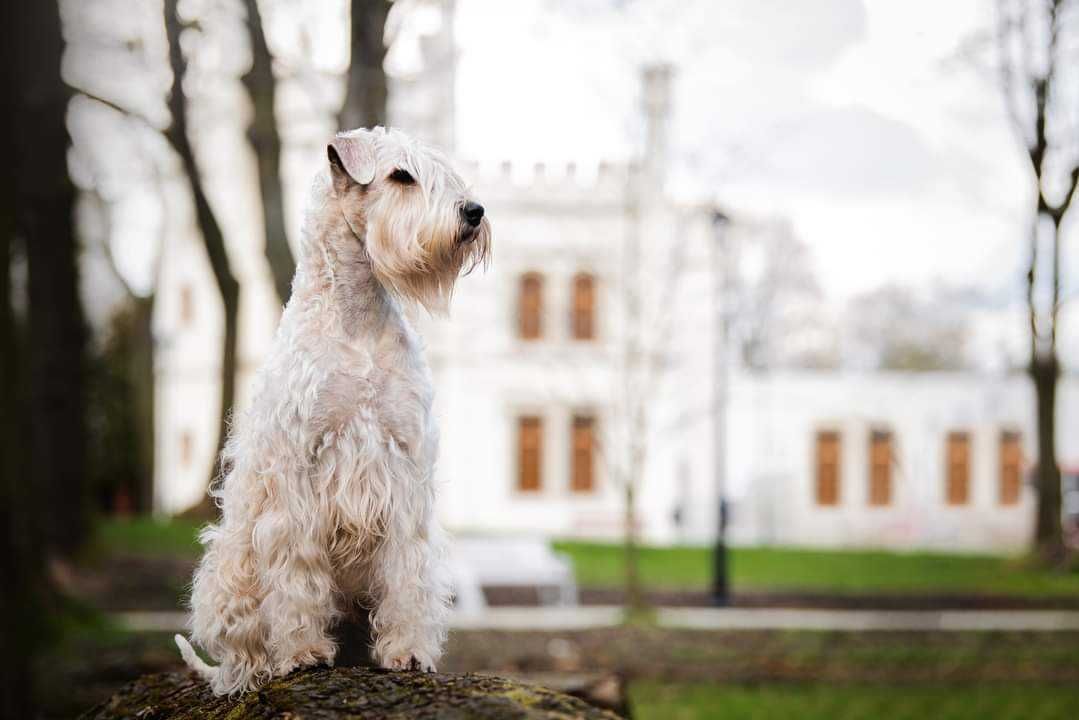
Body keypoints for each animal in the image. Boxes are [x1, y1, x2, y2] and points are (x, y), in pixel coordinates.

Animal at [173, 126, 494, 695]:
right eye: (401, 175)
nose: (473, 211)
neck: (357, 319)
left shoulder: (405, 465)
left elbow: (408, 573)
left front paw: (408, 651)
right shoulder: (297, 473)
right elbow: (296, 573)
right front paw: (302, 653)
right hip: (228, 570)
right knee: (240, 645)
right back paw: (255, 668)